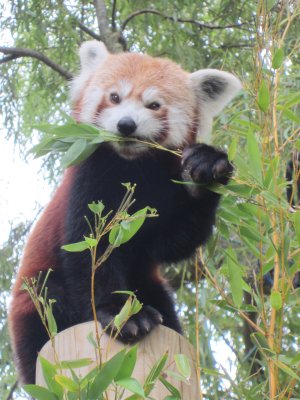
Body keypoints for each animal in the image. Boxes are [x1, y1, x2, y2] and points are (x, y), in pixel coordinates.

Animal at [8, 41, 241, 384]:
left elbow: (174, 242)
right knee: (51, 300)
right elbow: (91, 250)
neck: (131, 164)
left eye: (154, 104)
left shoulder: (162, 191)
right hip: (35, 303)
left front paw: (204, 168)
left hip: (150, 284)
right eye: (114, 97)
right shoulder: (88, 179)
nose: (126, 124)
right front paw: (122, 313)